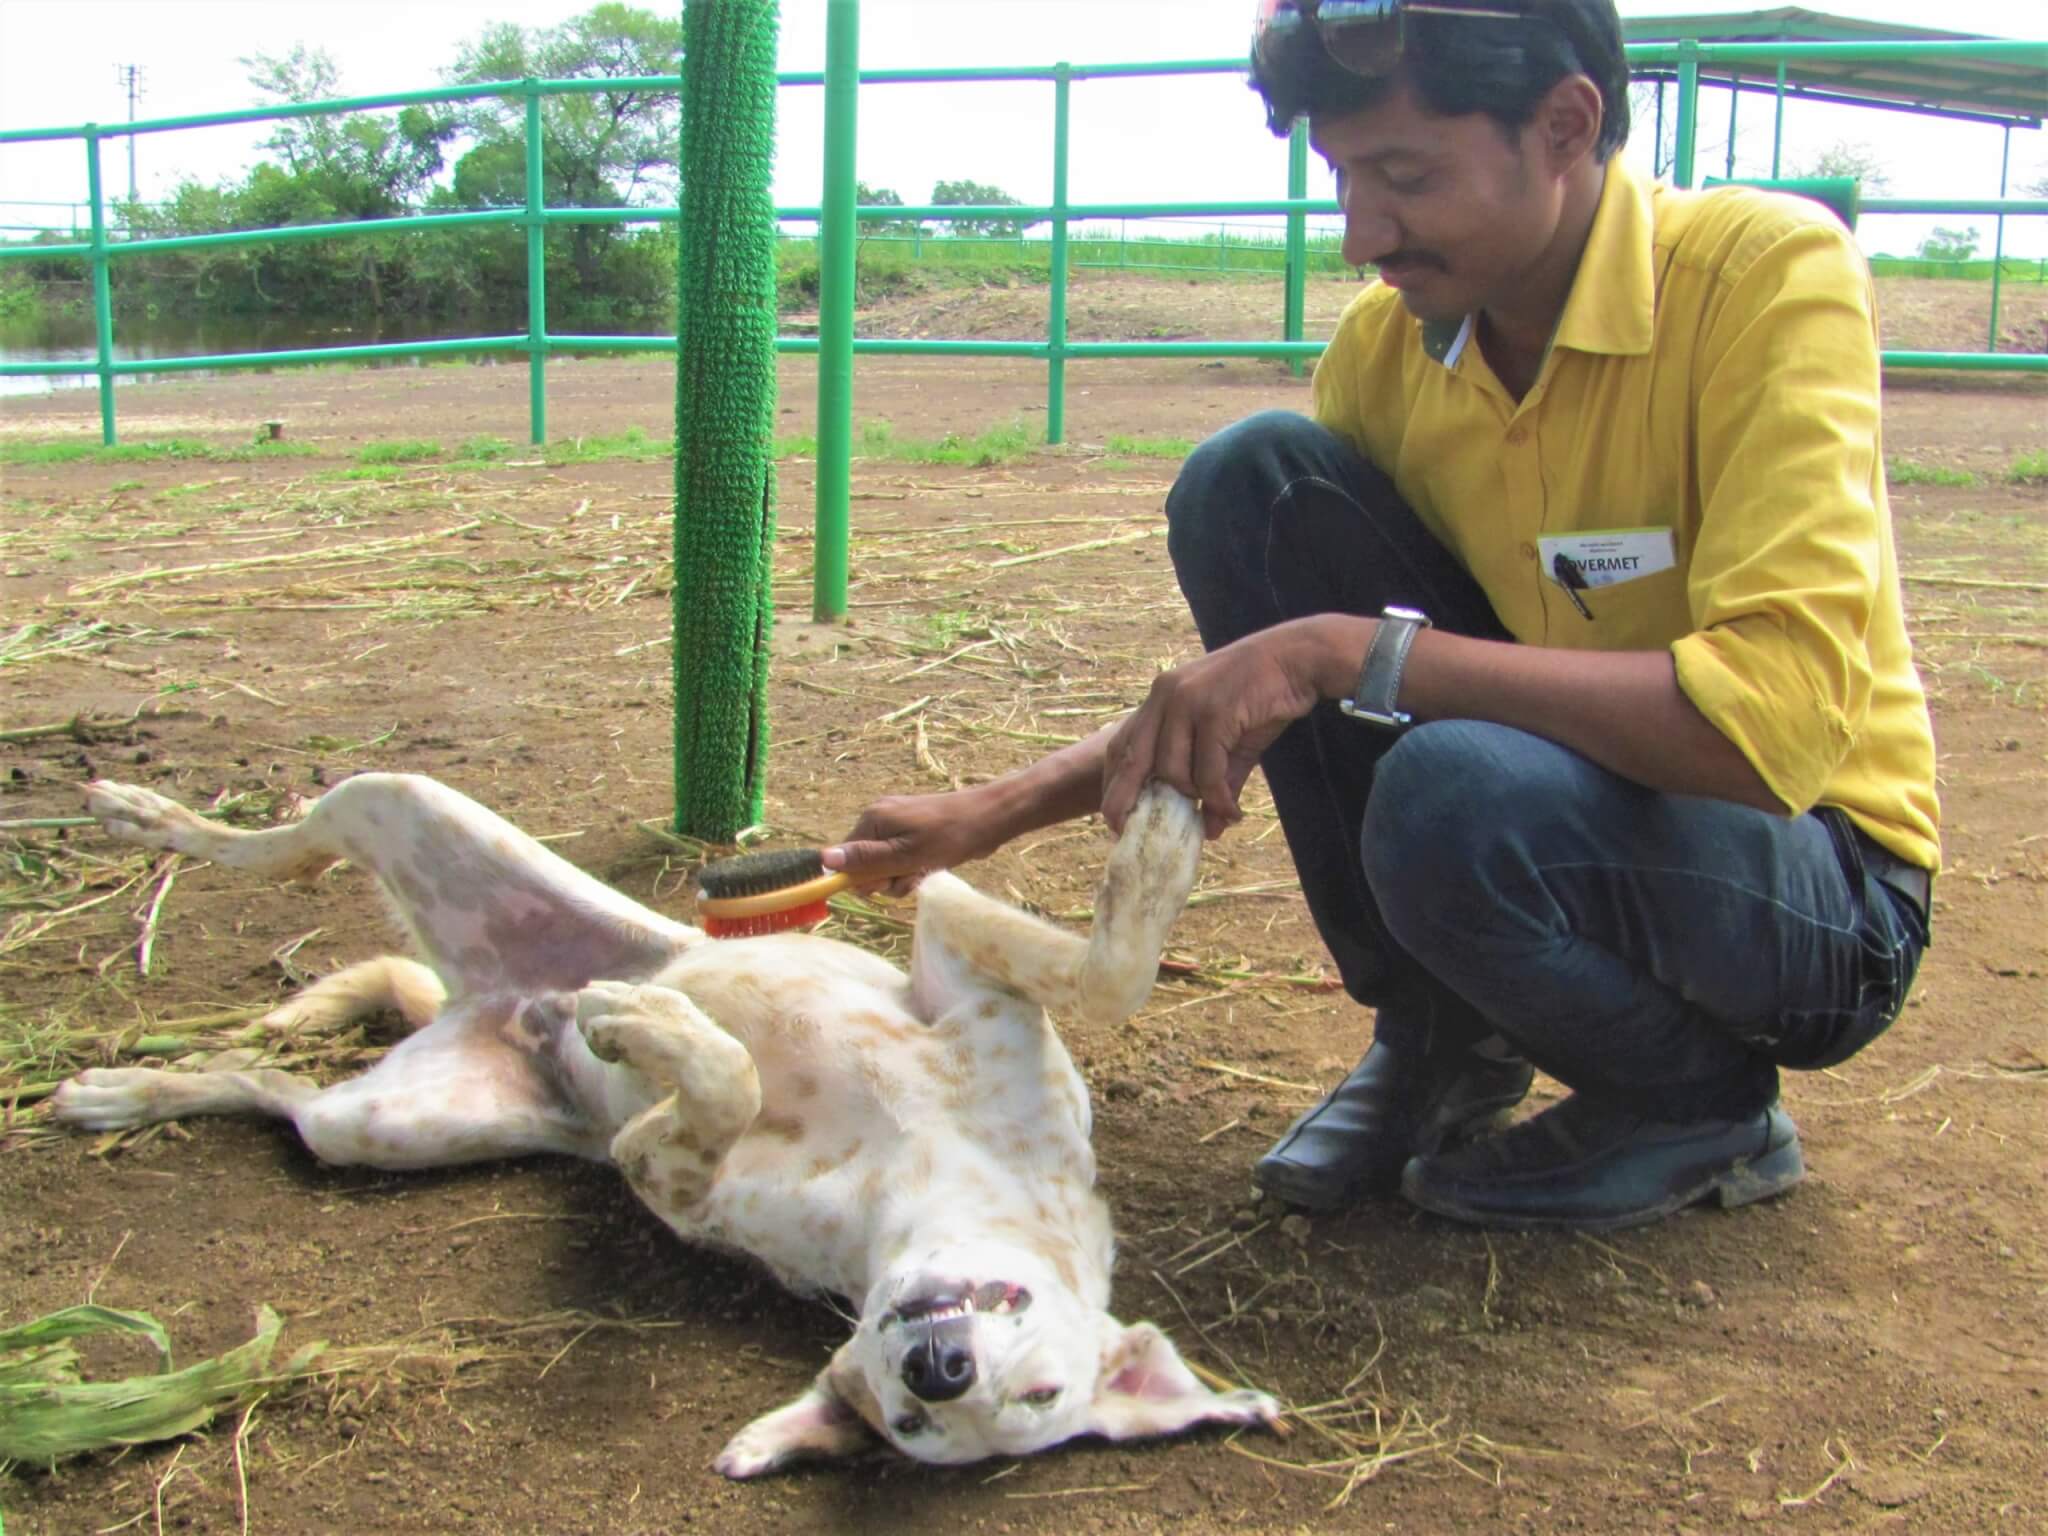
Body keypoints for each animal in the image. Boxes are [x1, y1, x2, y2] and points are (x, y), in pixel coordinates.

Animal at [51, 782, 1277, 1482]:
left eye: (1024, 1406)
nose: (937, 1371)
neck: (942, 1182)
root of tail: (487, 997)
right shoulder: (949, 949)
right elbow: (1111, 968)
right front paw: (1164, 826)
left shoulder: (666, 1172)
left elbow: (713, 1091)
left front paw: (646, 1030)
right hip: (404, 802)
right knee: (283, 845)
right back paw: (144, 818)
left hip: (377, 1125)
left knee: (273, 1092)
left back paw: (123, 1092)